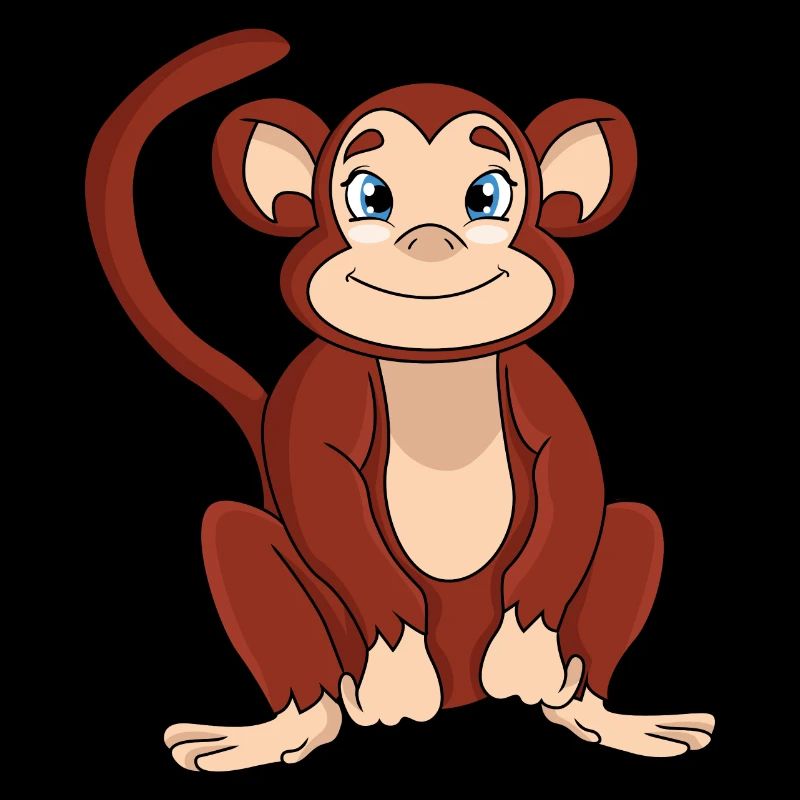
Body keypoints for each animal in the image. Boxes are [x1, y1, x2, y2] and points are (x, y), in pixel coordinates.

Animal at [86, 29, 715, 772]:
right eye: (371, 197)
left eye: (486, 196)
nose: (430, 242)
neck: (432, 364)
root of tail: (464, 698)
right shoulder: (321, 388)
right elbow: (327, 505)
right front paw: (397, 675)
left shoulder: (533, 382)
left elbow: (572, 480)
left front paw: (527, 655)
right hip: (325, 632)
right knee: (235, 535)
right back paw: (285, 728)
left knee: (633, 525)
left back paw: (599, 716)